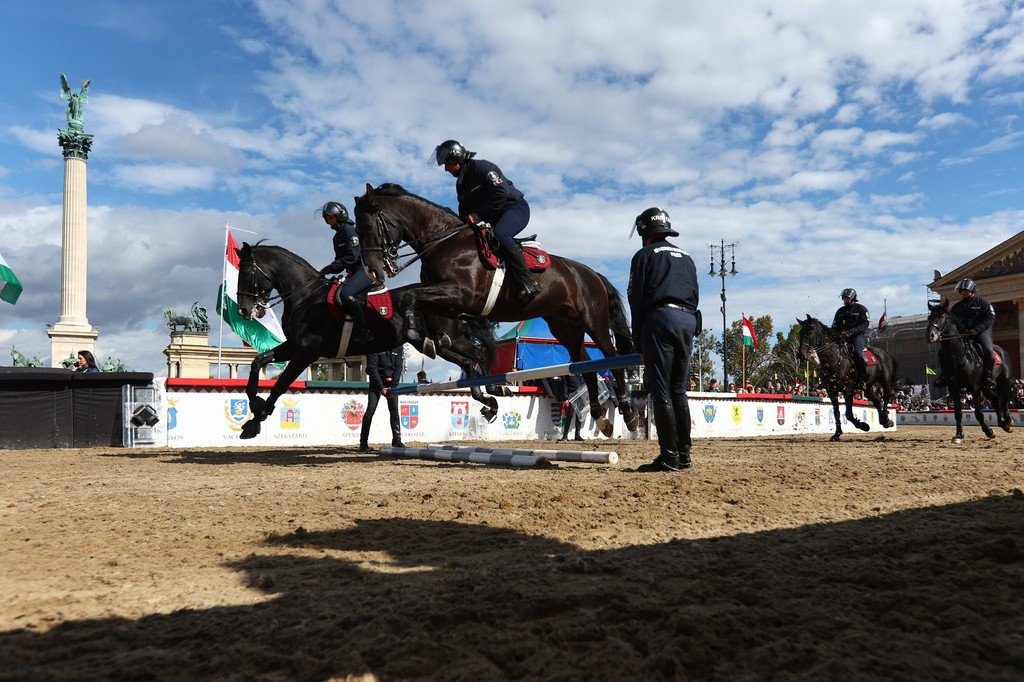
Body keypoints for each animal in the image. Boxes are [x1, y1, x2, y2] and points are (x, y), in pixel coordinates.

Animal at [233, 241, 503, 438]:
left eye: (246, 273)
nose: (244, 310)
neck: (306, 296)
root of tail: (453, 296)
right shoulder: (294, 346)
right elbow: (258, 362)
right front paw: (255, 404)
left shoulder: (307, 351)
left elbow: (281, 384)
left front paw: (256, 419)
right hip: (434, 344)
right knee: (467, 362)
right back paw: (487, 400)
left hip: (452, 339)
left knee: (479, 355)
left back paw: (493, 390)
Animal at [356, 182, 634, 436]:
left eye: (368, 227)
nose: (373, 271)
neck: (442, 242)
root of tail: (592, 273)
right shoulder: (448, 304)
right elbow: (420, 309)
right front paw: (429, 341)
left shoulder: (461, 294)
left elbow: (410, 297)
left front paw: (417, 335)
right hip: (565, 327)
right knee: (586, 365)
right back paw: (600, 417)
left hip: (594, 320)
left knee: (612, 356)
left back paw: (628, 412)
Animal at [925, 301, 1011, 440]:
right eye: (929, 317)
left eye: (942, 316)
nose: (930, 335)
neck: (958, 356)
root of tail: (1001, 351)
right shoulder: (953, 389)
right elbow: (958, 413)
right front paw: (959, 434)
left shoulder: (974, 388)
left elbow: (978, 413)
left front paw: (988, 431)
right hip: (985, 387)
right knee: (995, 400)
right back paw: (1002, 423)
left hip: (1004, 381)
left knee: (1005, 398)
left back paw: (1008, 421)